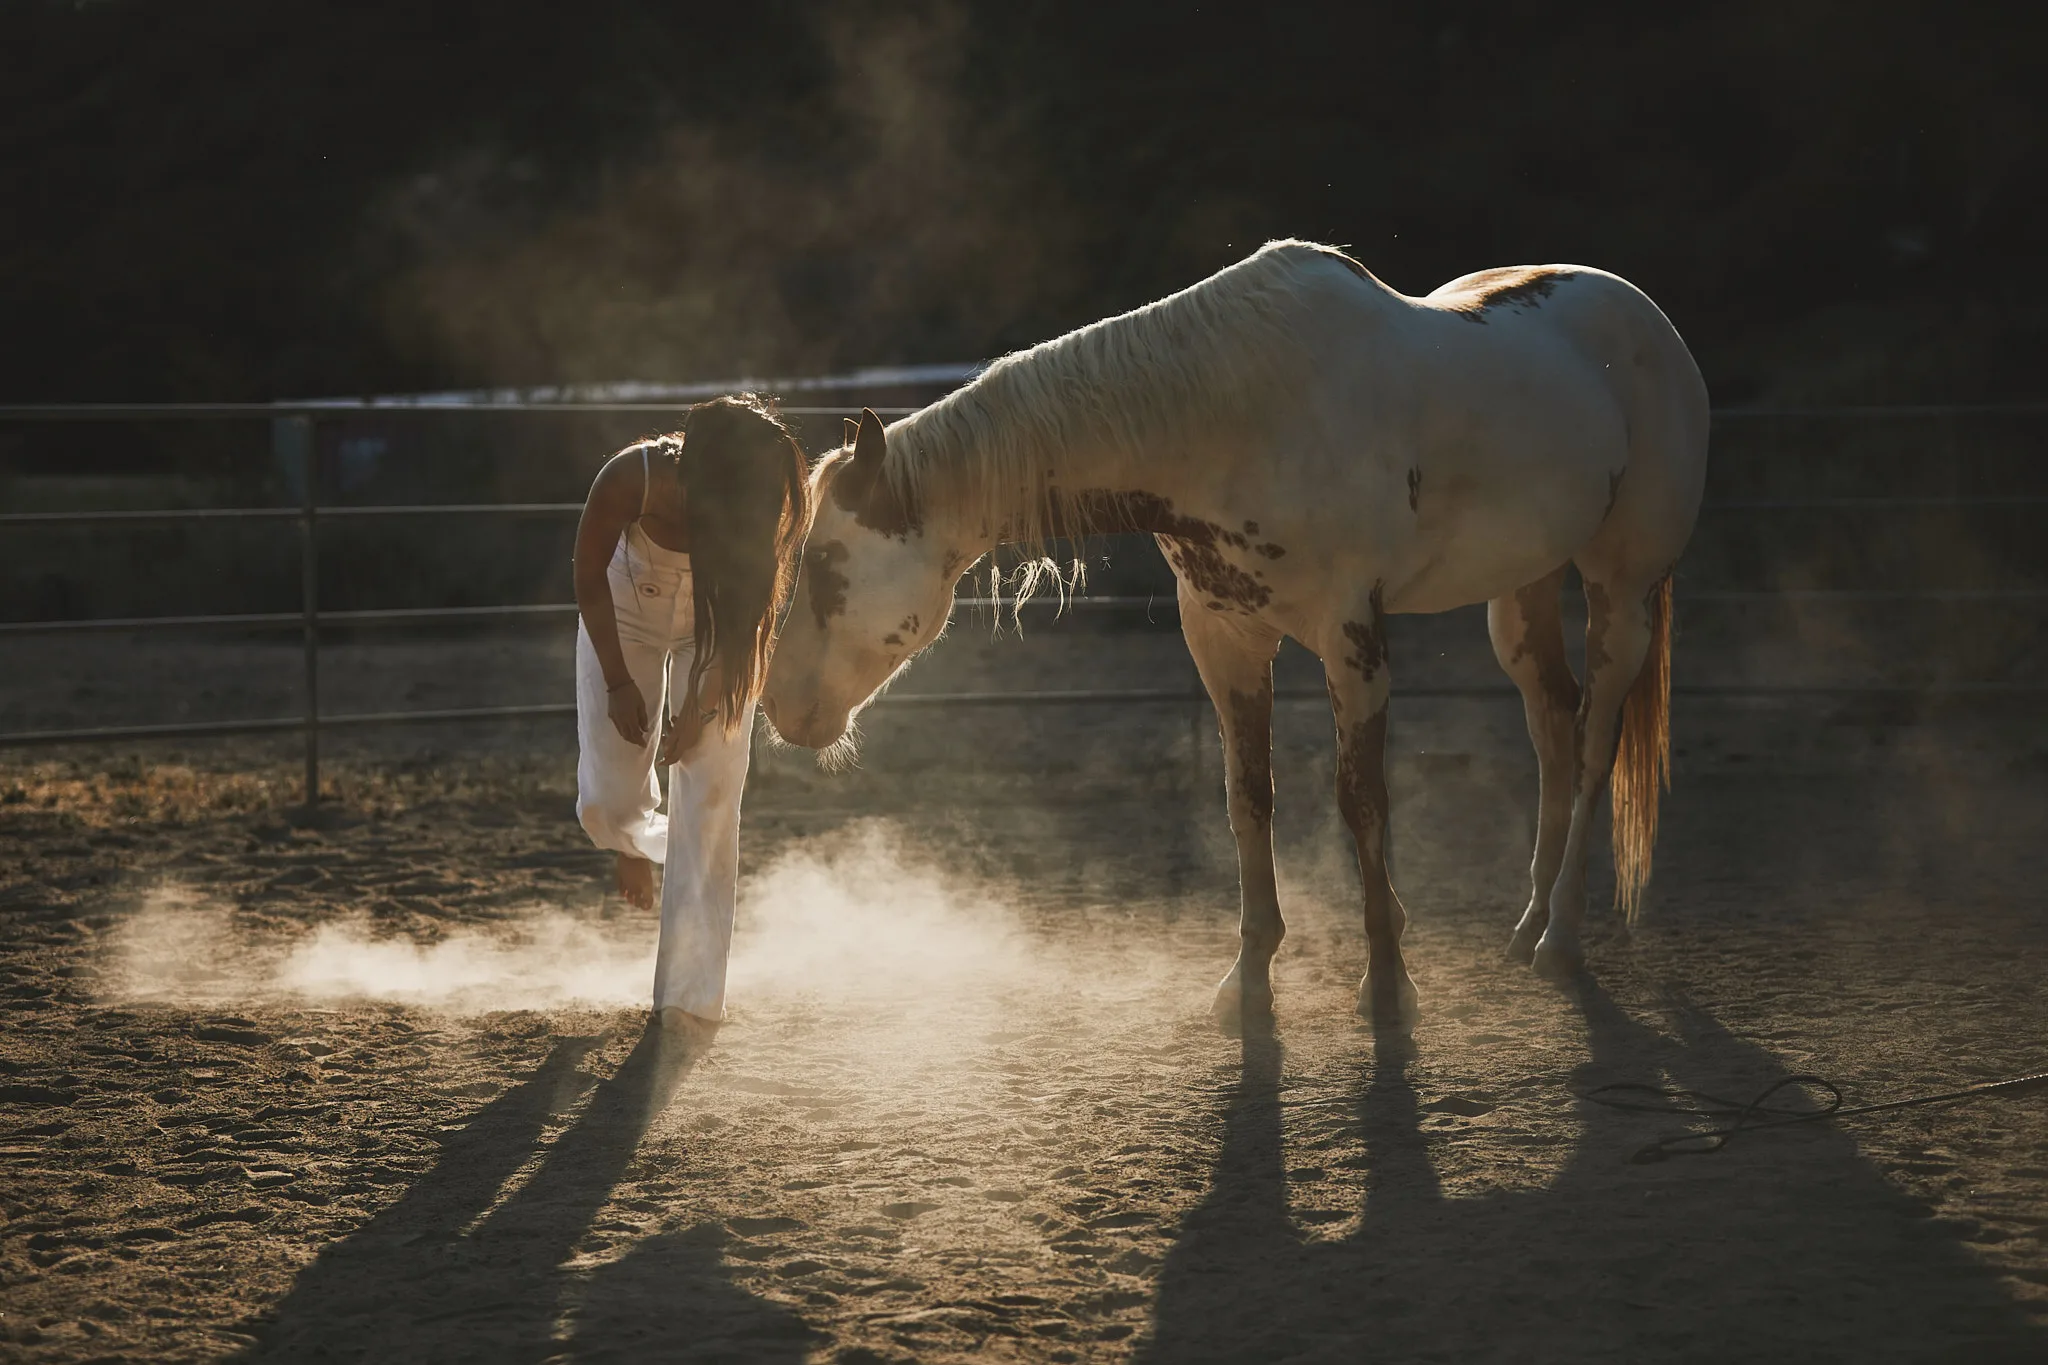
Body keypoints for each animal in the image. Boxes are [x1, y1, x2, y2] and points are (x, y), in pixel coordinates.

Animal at [760, 239, 1708, 1033]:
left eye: (826, 565)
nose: (780, 709)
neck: (1234, 415)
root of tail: (1647, 318)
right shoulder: (1224, 637)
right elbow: (1246, 797)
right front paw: (1248, 983)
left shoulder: (1352, 638)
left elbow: (1362, 798)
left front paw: (1388, 984)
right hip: (1521, 594)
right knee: (1552, 730)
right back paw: (1529, 921)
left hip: (1621, 591)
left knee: (1594, 743)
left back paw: (1561, 940)